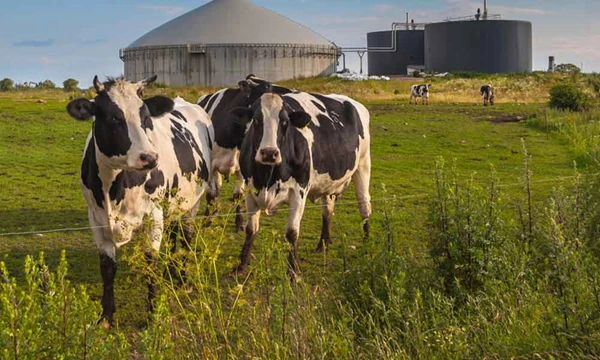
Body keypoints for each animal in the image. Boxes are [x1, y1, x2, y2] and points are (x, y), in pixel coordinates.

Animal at [66, 75, 213, 326]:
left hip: (192, 202)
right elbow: (107, 267)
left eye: (146, 118)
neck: (114, 188)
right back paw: (171, 272)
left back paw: (183, 278)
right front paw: (106, 315)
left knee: (186, 236)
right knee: (174, 233)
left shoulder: (153, 214)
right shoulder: (95, 218)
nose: (150, 158)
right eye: (114, 117)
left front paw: (153, 314)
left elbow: (150, 261)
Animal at [197, 75, 290, 231]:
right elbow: (211, 194)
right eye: (267, 86)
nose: (290, 91)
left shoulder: (242, 168)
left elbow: (238, 195)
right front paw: (207, 221)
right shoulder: (210, 165)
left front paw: (239, 222)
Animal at [232, 90, 372, 278]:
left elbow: (292, 233)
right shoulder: (250, 190)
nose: (269, 153)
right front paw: (242, 265)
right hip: (328, 185)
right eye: (256, 120)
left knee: (364, 205)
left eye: (285, 122)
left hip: (363, 165)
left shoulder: (299, 191)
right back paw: (323, 244)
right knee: (327, 211)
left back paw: (367, 242)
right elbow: (250, 229)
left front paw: (294, 272)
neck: (268, 176)